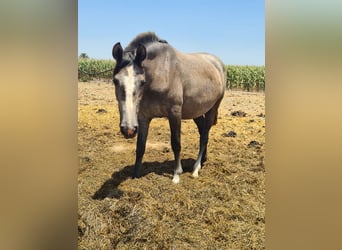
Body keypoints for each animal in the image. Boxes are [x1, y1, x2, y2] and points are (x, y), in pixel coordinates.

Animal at [111, 31, 226, 184]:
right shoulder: (143, 117)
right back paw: (202, 161)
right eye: (115, 80)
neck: (160, 74)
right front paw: (135, 175)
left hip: (212, 109)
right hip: (196, 112)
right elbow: (140, 147)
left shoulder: (174, 114)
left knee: (204, 136)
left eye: (142, 82)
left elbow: (176, 143)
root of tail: (218, 64)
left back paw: (196, 168)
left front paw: (176, 174)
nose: (128, 130)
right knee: (202, 131)